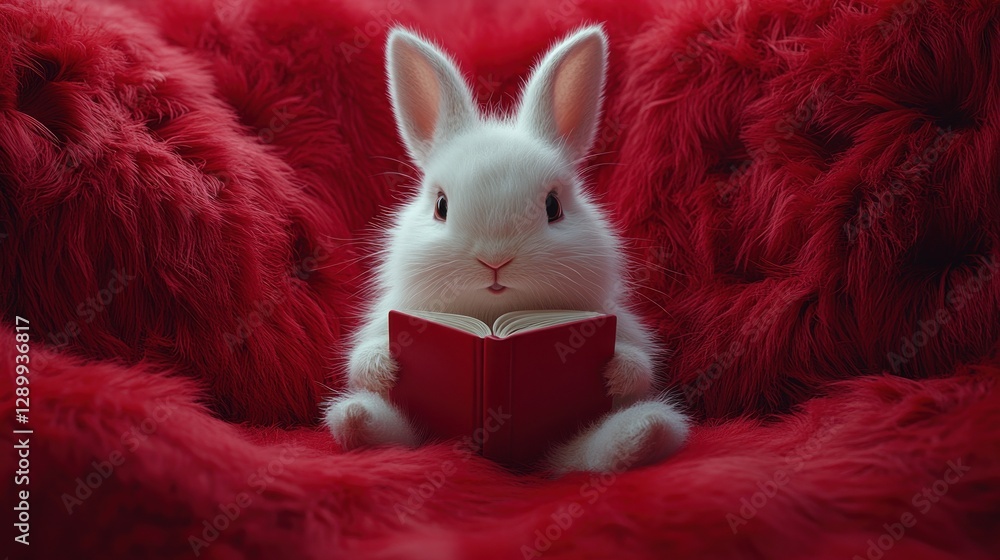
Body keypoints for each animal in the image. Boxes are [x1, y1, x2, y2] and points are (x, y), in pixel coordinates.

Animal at [324, 24, 690, 473]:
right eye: (441, 206)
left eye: (553, 207)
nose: (495, 259)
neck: (492, 317)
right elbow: (361, 360)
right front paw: (384, 366)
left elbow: (640, 366)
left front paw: (616, 371)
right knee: (363, 420)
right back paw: (361, 422)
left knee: (629, 436)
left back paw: (639, 436)